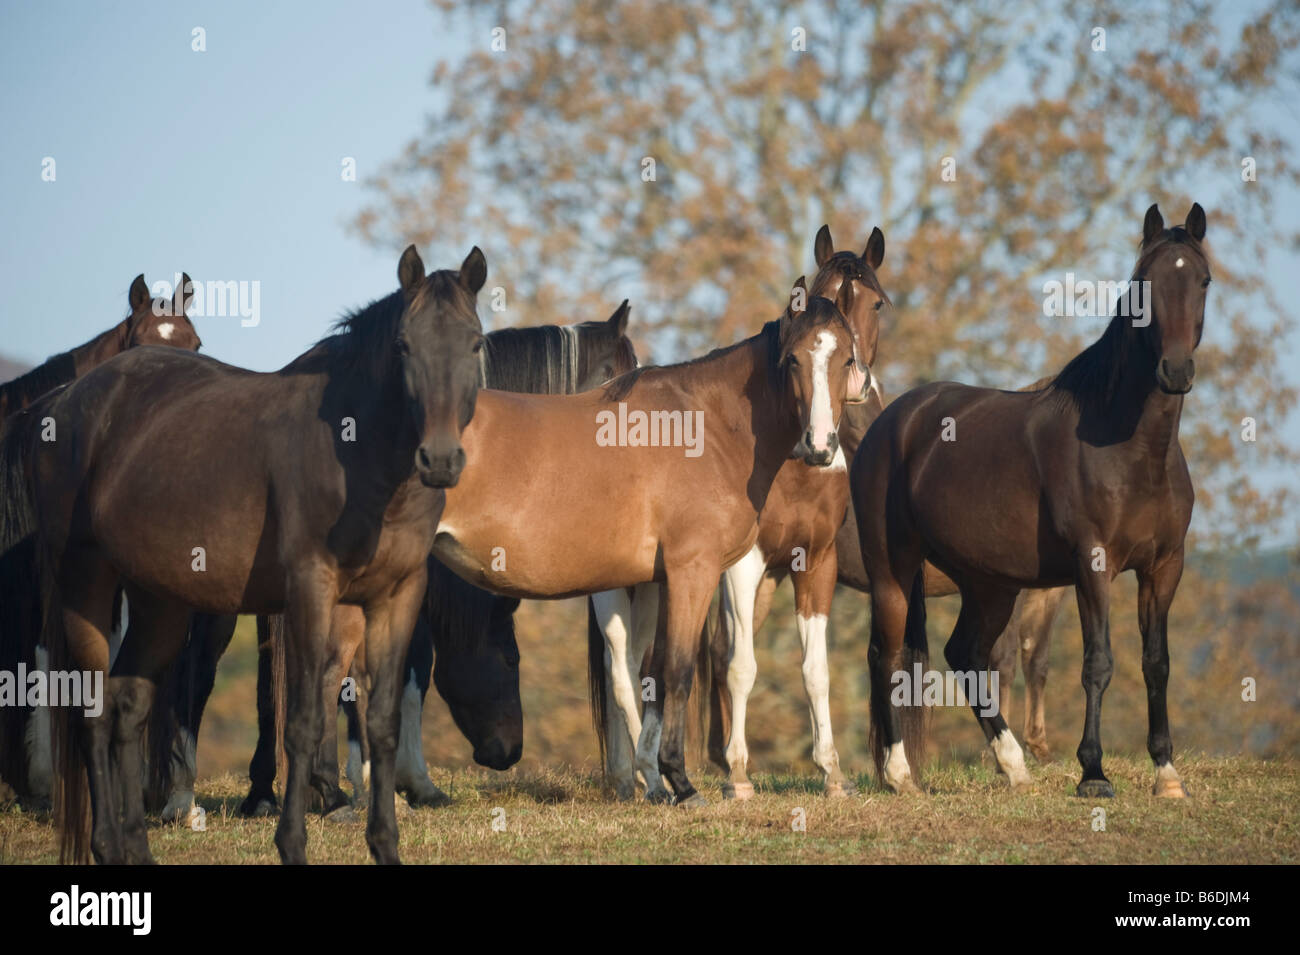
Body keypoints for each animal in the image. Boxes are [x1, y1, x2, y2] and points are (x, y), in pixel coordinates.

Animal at [590, 223, 894, 800]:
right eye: (823, 293)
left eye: (877, 304)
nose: (860, 389)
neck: (795, 467)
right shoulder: (742, 566)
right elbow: (740, 665)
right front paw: (736, 772)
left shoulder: (814, 562)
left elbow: (814, 669)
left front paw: (831, 772)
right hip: (614, 587)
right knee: (620, 668)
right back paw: (639, 776)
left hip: (655, 588)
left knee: (645, 666)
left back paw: (636, 774)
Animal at [852, 203, 1206, 800]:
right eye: (1144, 285)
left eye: (1202, 281)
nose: (1175, 371)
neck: (1132, 450)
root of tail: (890, 421)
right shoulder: (1092, 566)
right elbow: (1098, 663)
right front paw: (1093, 773)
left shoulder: (1164, 567)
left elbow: (1156, 662)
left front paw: (1166, 772)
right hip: (892, 571)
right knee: (887, 656)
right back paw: (900, 775)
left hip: (989, 583)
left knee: (965, 654)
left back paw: (1014, 764)